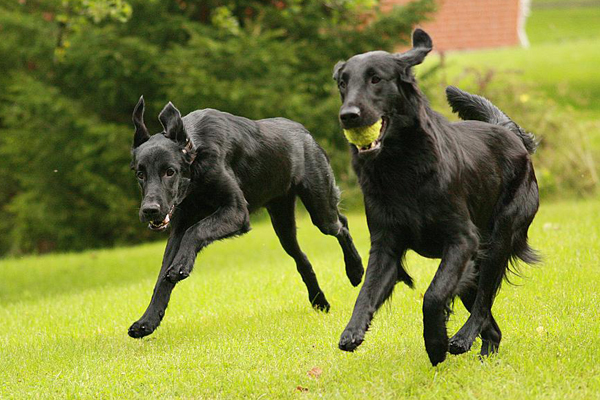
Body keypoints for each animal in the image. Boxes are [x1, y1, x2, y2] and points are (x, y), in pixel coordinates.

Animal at [127, 98, 364, 339]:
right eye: (140, 174)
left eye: (170, 171)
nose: (149, 210)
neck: (197, 159)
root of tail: (305, 133)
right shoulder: (179, 226)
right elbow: (162, 278)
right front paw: (147, 321)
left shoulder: (237, 211)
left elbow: (195, 232)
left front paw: (181, 265)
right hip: (283, 224)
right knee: (302, 258)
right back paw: (319, 301)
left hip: (320, 210)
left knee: (342, 225)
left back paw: (355, 271)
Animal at [332, 29, 539, 365]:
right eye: (342, 83)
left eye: (376, 79)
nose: (347, 116)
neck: (401, 166)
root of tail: (508, 131)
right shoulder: (387, 244)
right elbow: (366, 291)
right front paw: (353, 331)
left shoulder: (462, 240)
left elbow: (433, 295)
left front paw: (436, 342)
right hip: (474, 264)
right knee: (492, 326)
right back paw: (484, 355)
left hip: (497, 240)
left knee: (483, 301)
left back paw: (461, 338)